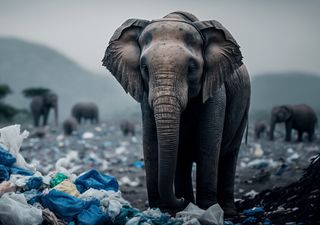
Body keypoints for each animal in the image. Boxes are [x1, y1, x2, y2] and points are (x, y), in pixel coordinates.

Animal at [102, 11, 250, 216]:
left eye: (192, 68)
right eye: (144, 68)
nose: (178, 200)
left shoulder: (216, 92)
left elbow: (208, 145)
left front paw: (207, 210)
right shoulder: (147, 97)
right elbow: (151, 144)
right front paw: (160, 210)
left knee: (229, 156)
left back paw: (225, 211)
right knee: (183, 161)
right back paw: (188, 204)